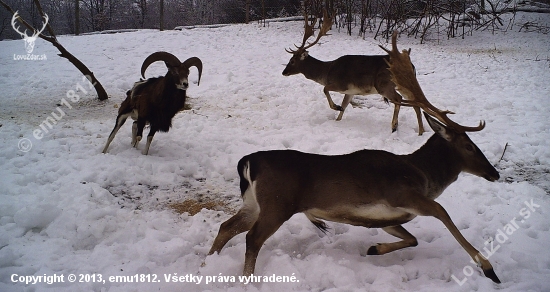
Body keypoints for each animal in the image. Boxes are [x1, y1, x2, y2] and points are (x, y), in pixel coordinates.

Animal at [209, 32, 502, 286]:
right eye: (469, 146)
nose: (495, 173)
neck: (424, 175)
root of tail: (249, 162)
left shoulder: (390, 217)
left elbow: (413, 239)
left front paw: (374, 248)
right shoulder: (402, 194)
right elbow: (443, 213)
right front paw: (488, 268)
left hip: (253, 204)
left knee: (226, 227)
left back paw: (208, 265)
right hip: (278, 204)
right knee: (252, 238)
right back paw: (244, 280)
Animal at [282, 11, 430, 135]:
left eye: (292, 61)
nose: (284, 72)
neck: (326, 72)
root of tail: (411, 66)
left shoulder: (341, 84)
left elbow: (325, 89)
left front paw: (336, 107)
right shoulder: (351, 91)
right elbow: (344, 105)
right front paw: (338, 117)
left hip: (384, 85)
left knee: (399, 99)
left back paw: (394, 126)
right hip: (403, 85)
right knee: (416, 103)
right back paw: (421, 131)